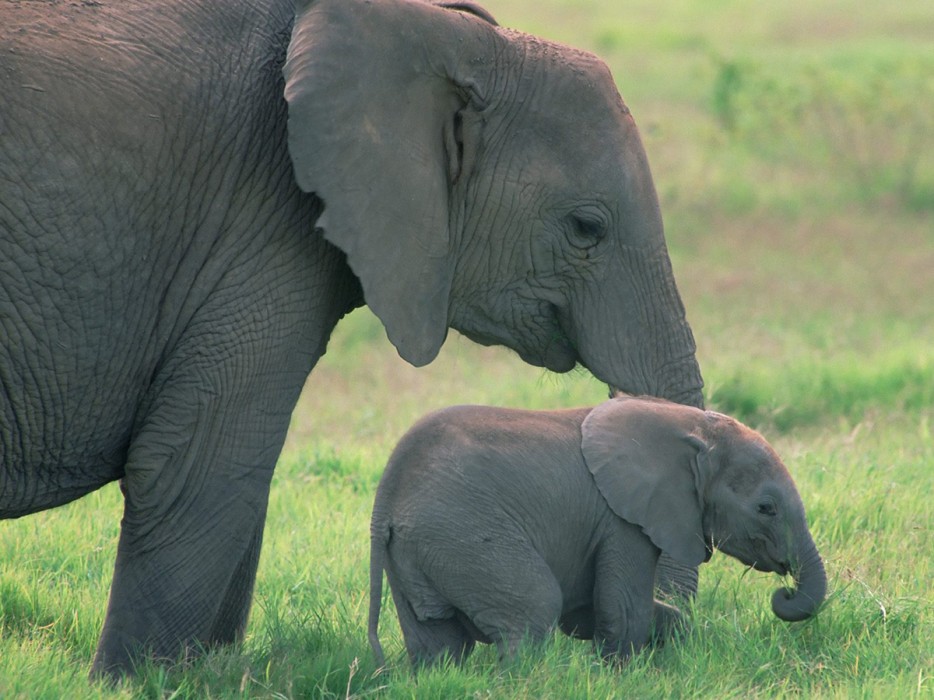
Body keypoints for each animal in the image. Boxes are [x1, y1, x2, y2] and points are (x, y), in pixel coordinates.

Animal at [0, 0, 704, 680]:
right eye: (586, 228)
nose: (669, 628)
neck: (451, 36)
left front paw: (212, 671)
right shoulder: (259, 225)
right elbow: (199, 467)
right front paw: (134, 683)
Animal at [368, 394, 828, 668]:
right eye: (766, 508)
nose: (785, 592)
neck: (692, 428)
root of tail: (386, 498)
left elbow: (599, 611)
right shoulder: (622, 519)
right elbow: (623, 609)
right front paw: (620, 677)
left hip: (417, 550)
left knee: (437, 643)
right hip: (462, 533)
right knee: (533, 610)